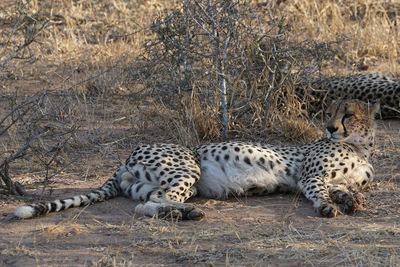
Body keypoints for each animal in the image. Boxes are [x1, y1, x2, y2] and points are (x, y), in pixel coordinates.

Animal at [14, 99, 378, 221]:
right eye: (329, 113)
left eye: (347, 114)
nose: (330, 128)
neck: (360, 146)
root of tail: (125, 157)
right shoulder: (309, 175)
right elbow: (318, 191)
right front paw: (327, 207)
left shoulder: (338, 178)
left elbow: (343, 189)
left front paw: (350, 200)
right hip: (188, 166)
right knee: (150, 204)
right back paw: (186, 213)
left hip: (151, 184)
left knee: (146, 204)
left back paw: (182, 213)